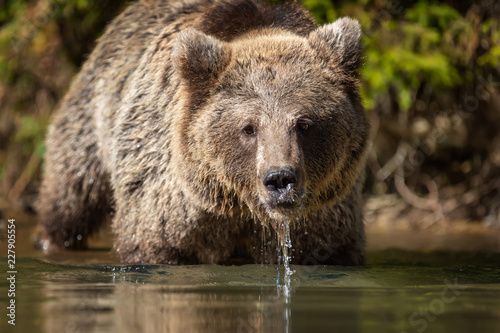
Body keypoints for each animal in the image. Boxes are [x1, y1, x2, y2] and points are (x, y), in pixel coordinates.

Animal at [36, 0, 372, 264]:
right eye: (249, 128)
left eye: (304, 123)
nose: (279, 179)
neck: (240, 207)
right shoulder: (169, 201)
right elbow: (153, 245)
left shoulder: (326, 212)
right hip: (94, 111)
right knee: (70, 192)